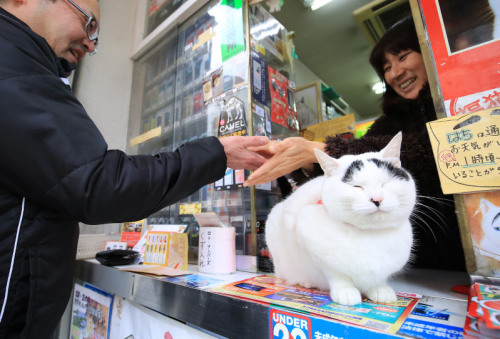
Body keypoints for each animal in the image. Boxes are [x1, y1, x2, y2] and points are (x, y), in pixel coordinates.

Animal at [268, 133, 416, 308]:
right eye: (357, 187)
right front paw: (346, 291)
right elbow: (337, 275)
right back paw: (305, 281)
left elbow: (377, 280)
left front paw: (380, 289)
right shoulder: (312, 242)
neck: (370, 235)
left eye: (385, 183)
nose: (377, 199)